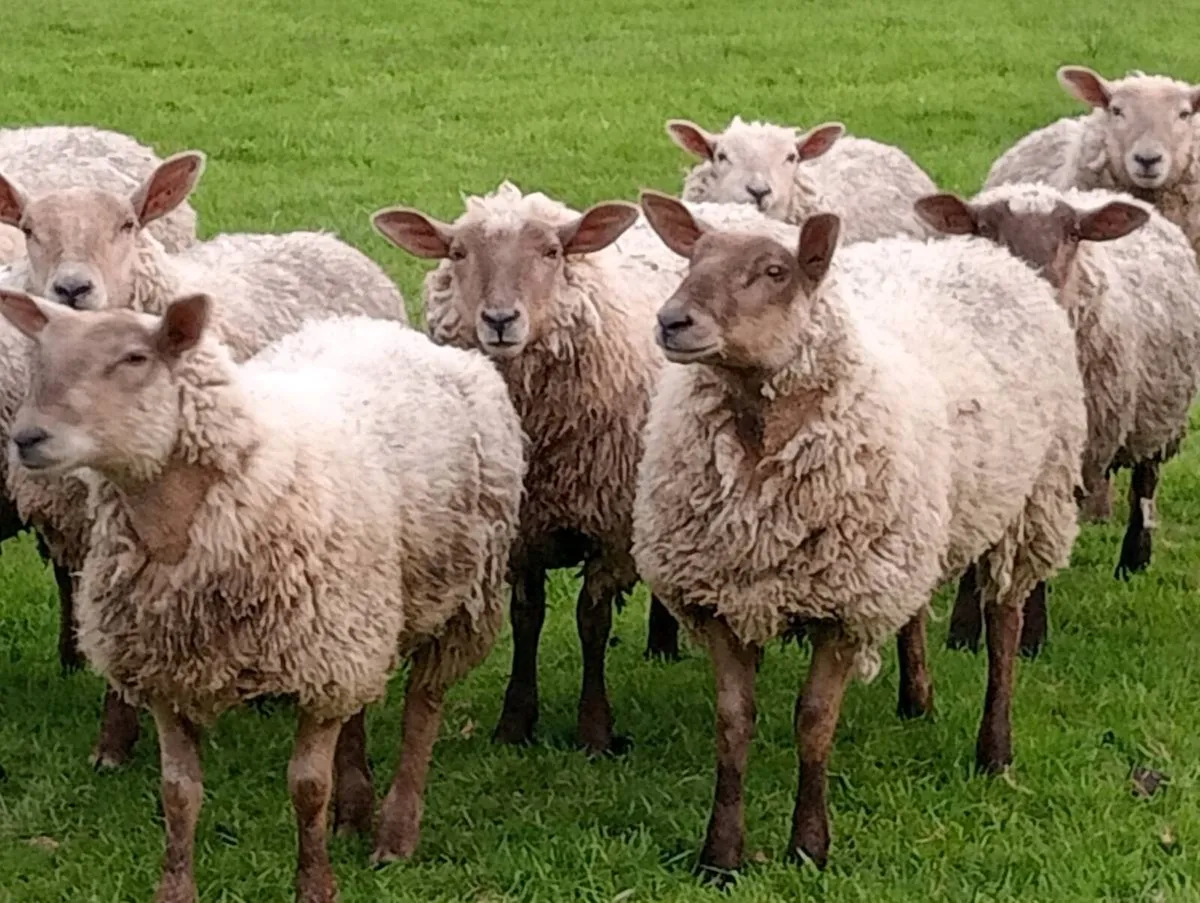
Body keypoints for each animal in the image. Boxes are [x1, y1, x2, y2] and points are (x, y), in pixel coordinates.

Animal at [0, 149, 409, 766]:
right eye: (28, 230)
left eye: (127, 224)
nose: (72, 288)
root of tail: (322, 237)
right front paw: (113, 736)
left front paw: (116, 736)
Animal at [0, 290, 525, 902]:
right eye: (41, 356)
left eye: (134, 358)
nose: (27, 438)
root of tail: (389, 331)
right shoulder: (164, 674)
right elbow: (178, 793)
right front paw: (175, 889)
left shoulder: (320, 658)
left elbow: (307, 787)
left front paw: (315, 886)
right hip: (360, 619)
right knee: (358, 707)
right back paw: (354, 812)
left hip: (458, 601)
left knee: (423, 707)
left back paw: (395, 832)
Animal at [631, 190, 1085, 873]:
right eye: (692, 259)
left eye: (775, 271)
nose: (672, 321)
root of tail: (982, 253)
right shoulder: (723, 598)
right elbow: (732, 725)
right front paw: (721, 857)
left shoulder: (843, 607)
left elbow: (815, 723)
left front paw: (809, 847)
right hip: (911, 532)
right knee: (916, 606)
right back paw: (917, 700)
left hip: (1031, 503)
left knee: (1004, 624)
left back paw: (994, 751)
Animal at [916, 182, 1200, 655]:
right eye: (985, 229)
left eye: (1073, 234)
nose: (1035, 280)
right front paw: (962, 634)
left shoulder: (1070, 461)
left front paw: (1032, 638)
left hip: (1158, 419)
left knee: (1144, 484)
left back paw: (1133, 560)